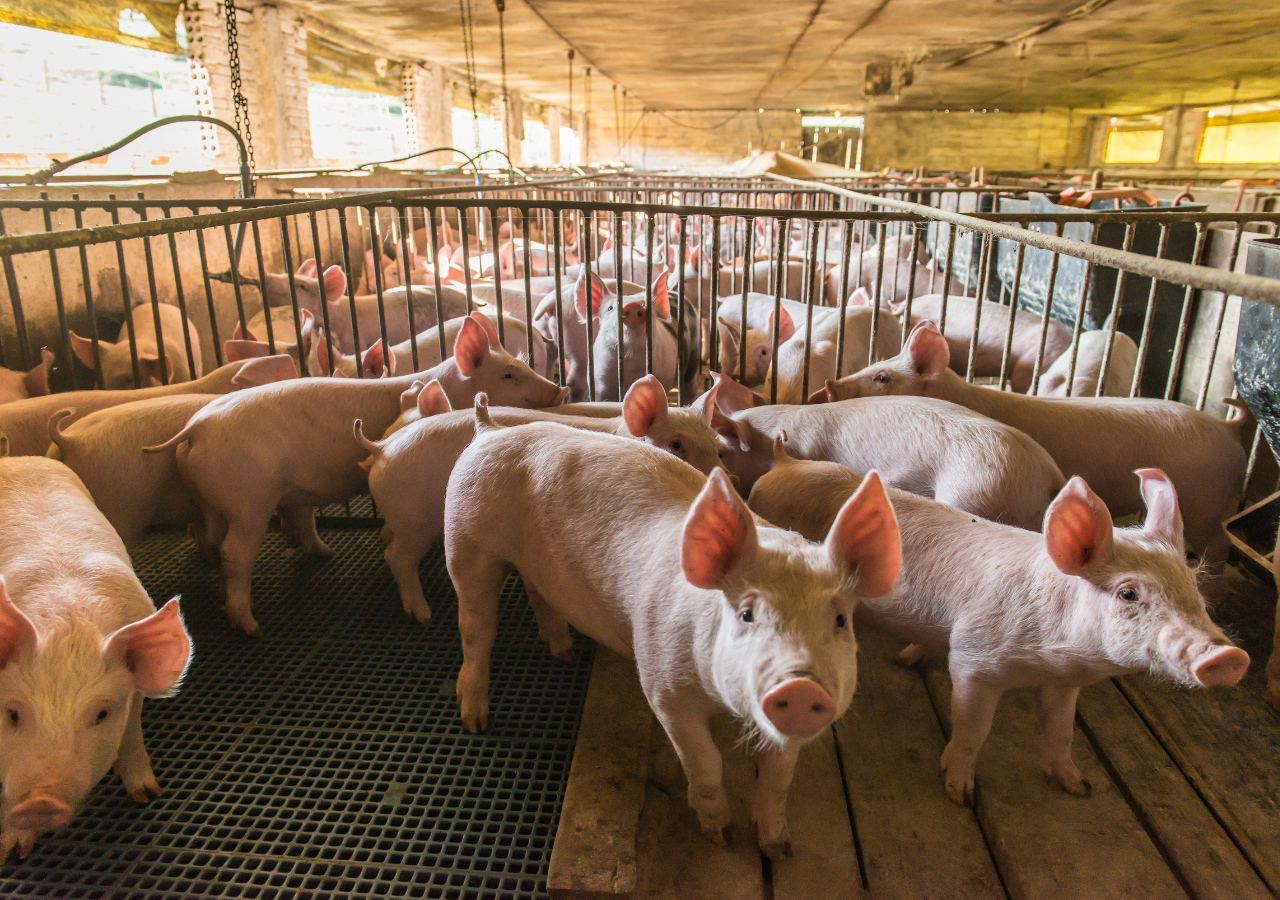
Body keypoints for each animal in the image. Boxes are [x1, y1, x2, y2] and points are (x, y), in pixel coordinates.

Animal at [0, 453, 192, 861]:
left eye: (102, 713)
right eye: (12, 713)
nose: (41, 802)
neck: (68, 623)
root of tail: (17, 457)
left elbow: (132, 732)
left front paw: (147, 795)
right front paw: (13, 853)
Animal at [146, 314, 566, 636]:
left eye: (524, 364)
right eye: (509, 375)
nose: (560, 390)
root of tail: (195, 428)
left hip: (211, 499)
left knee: (210, 538)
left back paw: (317, 556)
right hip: (249, 498)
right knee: (235, 552)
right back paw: (250, 627)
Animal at [361, 375, 730, 623]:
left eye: (715, 443)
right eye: (677, 445)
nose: (733, 481)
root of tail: (382, 449)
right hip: (414, 520)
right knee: (397, 556)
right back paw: (422, 614)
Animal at [444, 399, 899, 855]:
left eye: (840, 620)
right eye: (747, 614)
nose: (802, 686)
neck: (724, 706)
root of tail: (489, 429)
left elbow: (779, 776)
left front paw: (778, 848)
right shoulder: (663, 687)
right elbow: (706, 762)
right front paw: (721, 837)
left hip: (529, 565)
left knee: (538, 594)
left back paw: (564, 653)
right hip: (466, 543)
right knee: (476, 628)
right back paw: (475, 722)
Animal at [749, 443, 1249, 806]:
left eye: (1193, 585)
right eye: (1129, 593)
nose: (1228, 655)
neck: (1054, 657)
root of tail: (784, 463)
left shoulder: (1064, 682)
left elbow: (1062, 730)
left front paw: (1079, 786)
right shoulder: (975, 661)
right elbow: (973, 731)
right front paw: (959, 795)